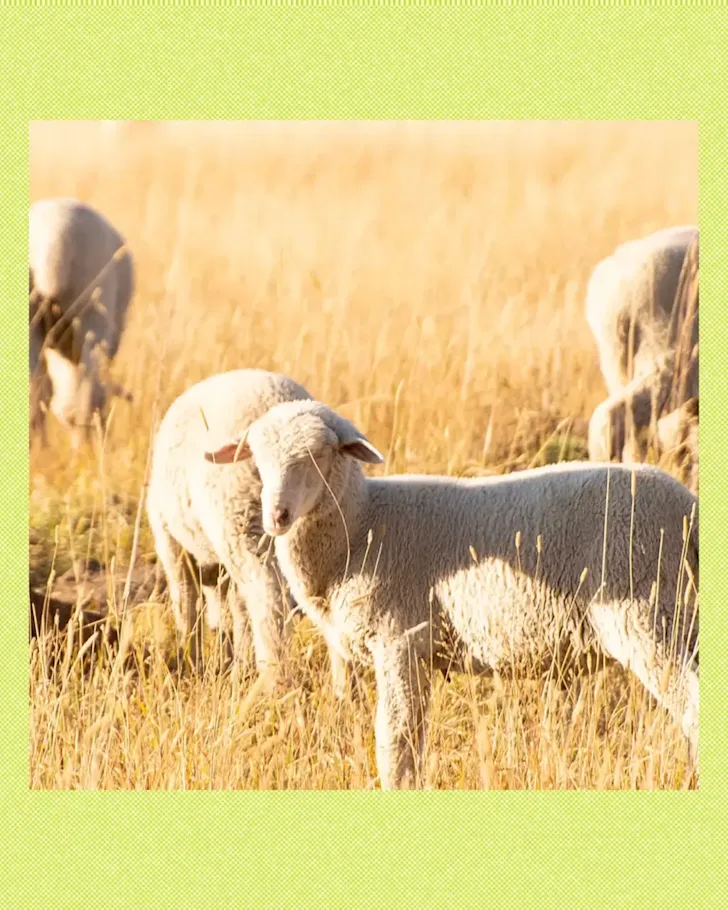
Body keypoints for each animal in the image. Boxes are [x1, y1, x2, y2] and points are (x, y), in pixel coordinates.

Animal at [147, 369, 314, 676]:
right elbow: (232, 606)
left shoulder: (171, 543)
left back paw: (271, 673)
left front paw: (192, 661)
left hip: (240, 523)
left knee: (267, 600)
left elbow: (186, 603)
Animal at [206, 400, 699, 789]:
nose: (277, 516)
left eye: (319, 454)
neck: (362, 526)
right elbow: (411, 740)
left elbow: (394, 744)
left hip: (648, 614)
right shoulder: (418, 651)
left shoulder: (399, 638)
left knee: (691, 704)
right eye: (257, 460)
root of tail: (688, 505)